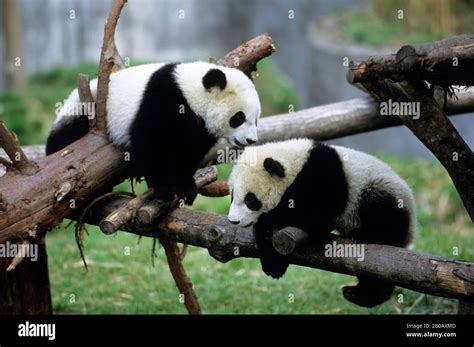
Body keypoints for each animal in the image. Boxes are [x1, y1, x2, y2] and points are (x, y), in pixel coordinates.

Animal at [46, 61, 262, 204]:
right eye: (238, 118)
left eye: (256, 119)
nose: (250, 139)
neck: (192, 93)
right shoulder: (163, 98)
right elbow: (149, 143)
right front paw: (163, 188)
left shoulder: (198, 129)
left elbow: (188, 153)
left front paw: (186, 188)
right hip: (83, 109)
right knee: (64, 137)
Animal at [228, 139, 416, 308]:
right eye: (232, 195)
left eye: (250, 199)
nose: (233, 220)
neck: (295, 163)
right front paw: (273, 263)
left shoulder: (323, 174)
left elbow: (315, 210)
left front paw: (272, 219)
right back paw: (359, 294)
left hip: (379, 189)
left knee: (383, 214)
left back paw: (365, 237)